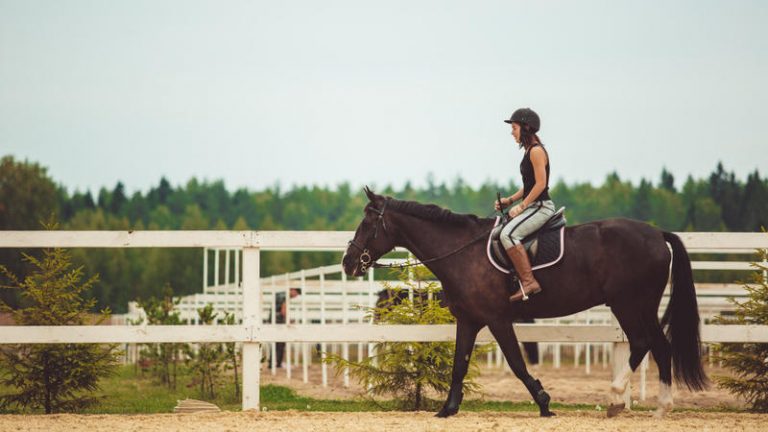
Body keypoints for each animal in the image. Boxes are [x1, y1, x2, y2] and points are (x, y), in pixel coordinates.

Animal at [342, 187, 706, 418]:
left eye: (368, 222)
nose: (348, 262)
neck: (463, 253)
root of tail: (658, 234)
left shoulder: (498, 320)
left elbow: (517, 364)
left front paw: (544, 403)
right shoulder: (469, 320)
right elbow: (459, 365)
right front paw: (447, 409)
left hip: (629, 305)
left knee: (645, 344)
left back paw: (622, 400)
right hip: (640, 307)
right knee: (658, 346)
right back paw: (655, 407)